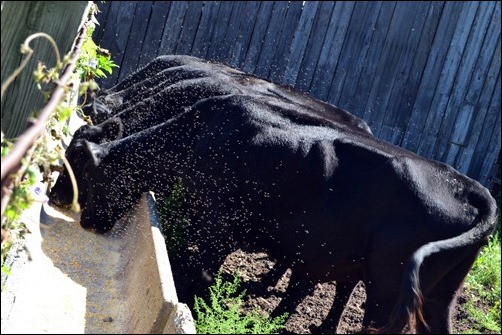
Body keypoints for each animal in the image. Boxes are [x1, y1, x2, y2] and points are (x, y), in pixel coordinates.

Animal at [76, 86, 496, 334]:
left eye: (89, 178)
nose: (85, 222)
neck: (200, 133)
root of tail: (468, 186)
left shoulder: (217, 224)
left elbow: (199, 270)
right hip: (438, 293)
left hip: (387, 287)